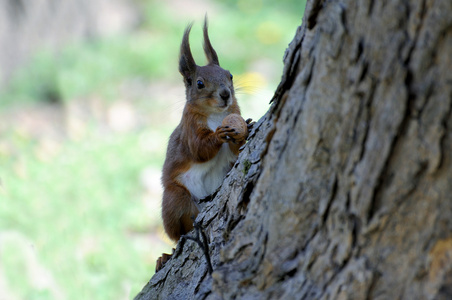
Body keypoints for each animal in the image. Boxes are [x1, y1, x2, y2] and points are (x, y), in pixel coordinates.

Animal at [157, 19, 252, 270]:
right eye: (199, 83)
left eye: (230, 75)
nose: (226, 94)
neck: (216, 114)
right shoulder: (190, 129)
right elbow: (200, 150)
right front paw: (219, 135)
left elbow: (236, 149)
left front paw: (245, 129)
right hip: (175, 198)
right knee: (179, 234)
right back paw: (167, 256)